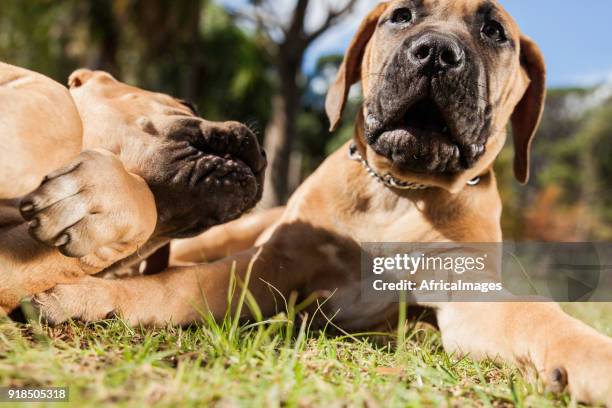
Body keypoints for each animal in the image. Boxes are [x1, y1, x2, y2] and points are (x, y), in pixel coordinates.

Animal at [31, 1, 608, 404]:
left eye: (494, 32)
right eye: (401, 16)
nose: (437, 53)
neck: (397, 193)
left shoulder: (468, 295)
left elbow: (539, 316)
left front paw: (592, 359)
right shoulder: (267, 266)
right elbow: (175, 285)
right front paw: (85, 296)